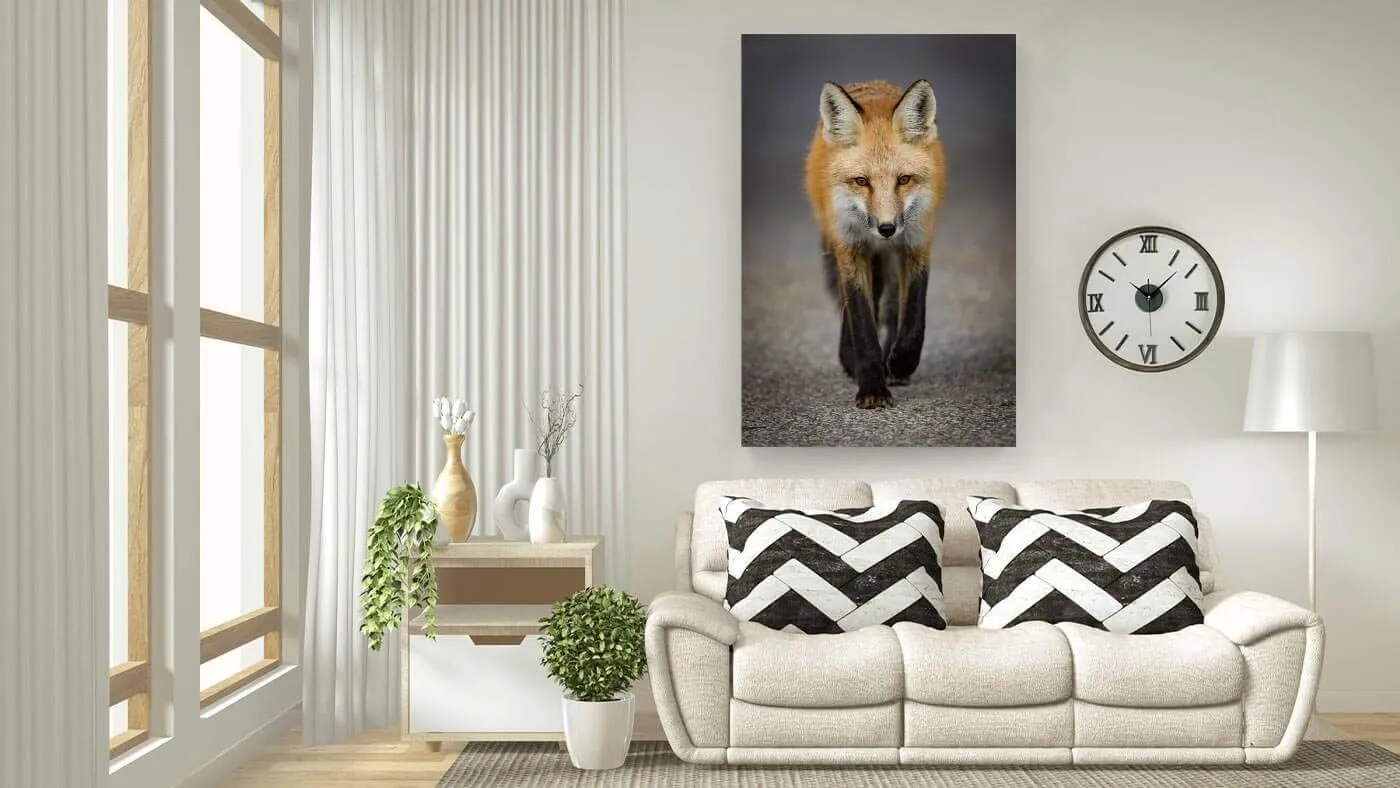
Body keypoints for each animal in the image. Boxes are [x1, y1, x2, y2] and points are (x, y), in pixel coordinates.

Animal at [804, 79, 946, 409]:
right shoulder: (850, 248)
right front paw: (871, 387)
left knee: (892, 307)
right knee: (854, 309)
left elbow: (914, 316)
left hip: (889, 259)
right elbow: (862, 324)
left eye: (904, 179)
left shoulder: (916, 242)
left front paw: (901, 362)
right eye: (861, 181)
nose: (887, 228)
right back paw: (852, 361)